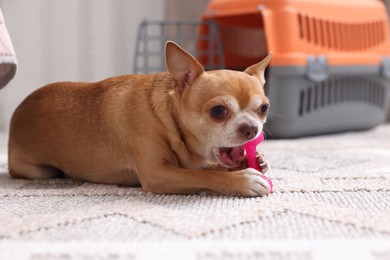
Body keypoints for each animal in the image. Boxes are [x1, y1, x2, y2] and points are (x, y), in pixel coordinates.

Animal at [8, 41, 272, 197]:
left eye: (264, 109)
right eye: (218, 111)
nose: (251, 129)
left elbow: (211, 167)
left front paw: (254, 160)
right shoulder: (157, 174)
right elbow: (204, 174)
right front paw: (243, 180)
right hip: (37, 171)